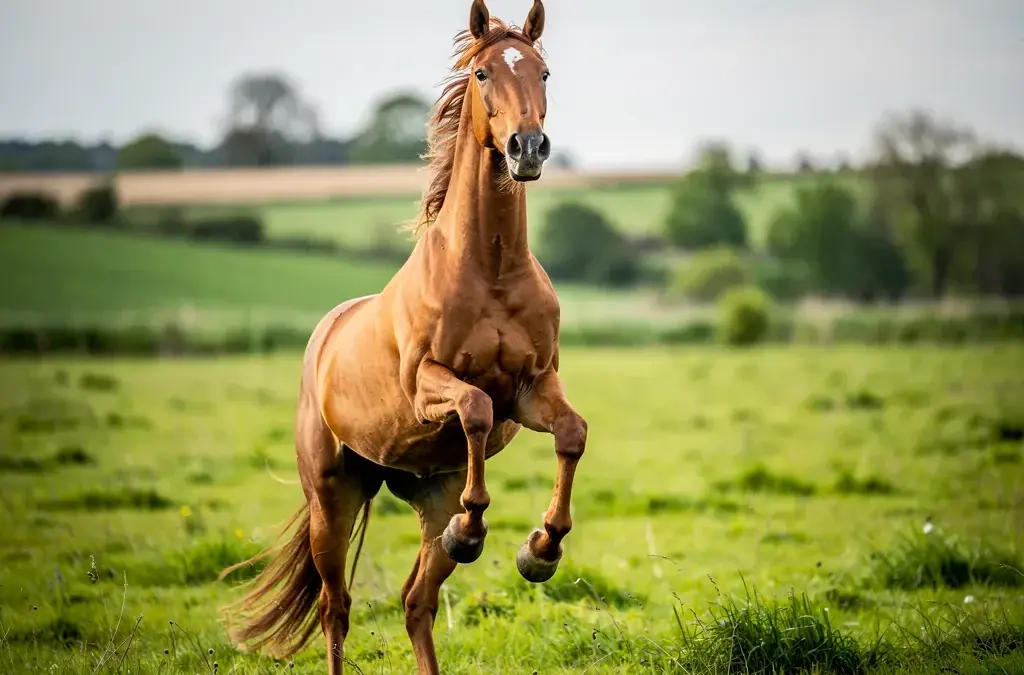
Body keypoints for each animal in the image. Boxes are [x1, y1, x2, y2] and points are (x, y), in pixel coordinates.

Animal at [220, 1, 587, 673]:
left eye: (544, 72)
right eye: (484, 74)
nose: (527, 147)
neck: (491, 269)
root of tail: (323, 338)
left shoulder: (531, 388)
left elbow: (572, 433)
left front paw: (540, 550)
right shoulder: (426, 387)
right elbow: (473, 406)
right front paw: (481, 529)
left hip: (429, 493)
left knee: (416, 601)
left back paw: (464, 540)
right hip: (332, 498)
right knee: (334, 608)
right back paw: (462, 533)